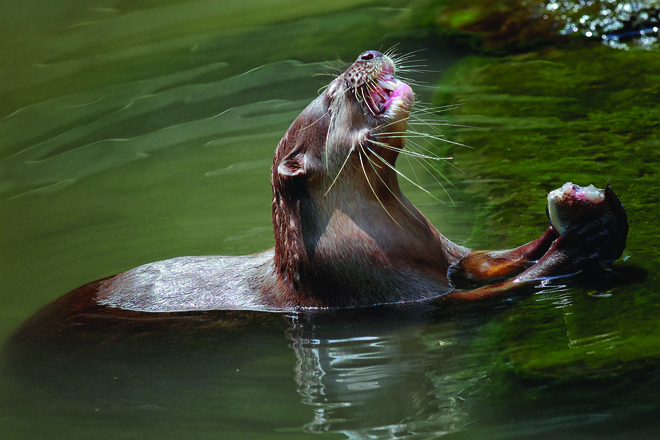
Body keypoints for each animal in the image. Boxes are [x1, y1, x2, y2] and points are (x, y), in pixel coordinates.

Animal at [11, 49, 628, 332]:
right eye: (332, 96)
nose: (366, 56)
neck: (390, 243)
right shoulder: (385, 293)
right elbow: (499, 288)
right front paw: (584, 240)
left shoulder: (446, 251)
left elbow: (487, 260)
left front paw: (581, 215)